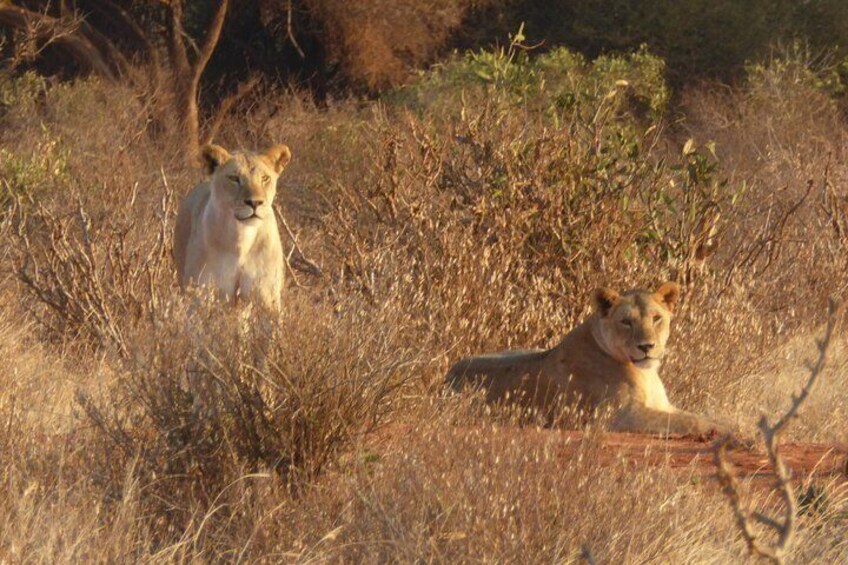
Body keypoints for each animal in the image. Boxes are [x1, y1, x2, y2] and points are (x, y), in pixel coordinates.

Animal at [174, 143, 291, 312]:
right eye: (234, 178)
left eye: (265, 178)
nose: (255, 203)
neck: (241, 237)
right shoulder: (200, 293)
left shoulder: (266, 296)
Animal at [446, 282, 729, 436]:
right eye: (626, 322)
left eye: (657, 318)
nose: (647, 346)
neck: (646, 373)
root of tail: (447, 377)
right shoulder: (620, 416)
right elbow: (689, 421)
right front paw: (723, 432)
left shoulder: (663, 405)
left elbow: (698, 415)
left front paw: (731, 425)